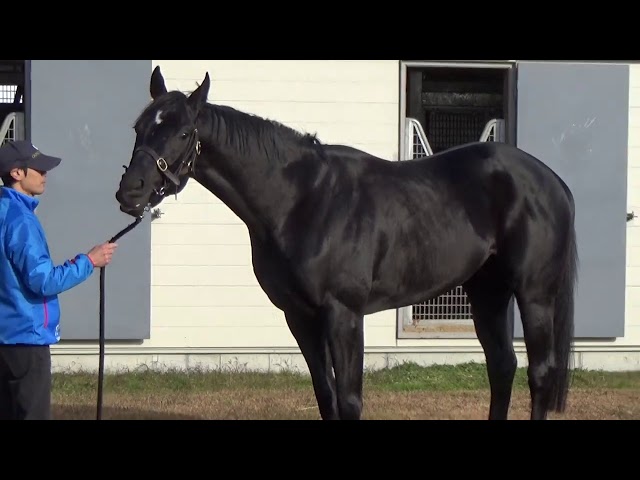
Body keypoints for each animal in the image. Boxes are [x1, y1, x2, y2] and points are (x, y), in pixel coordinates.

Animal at [115, 66, 578, 421]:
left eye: (182, 133)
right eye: (139, 127)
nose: (130, 192)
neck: (301, 199)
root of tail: (552, 181)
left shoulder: (344, 314)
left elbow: (351, 401)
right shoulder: (300, 317)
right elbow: (327, 398)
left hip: (534, 294)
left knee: (539, 372)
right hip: (487, 292)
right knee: (502, 366)